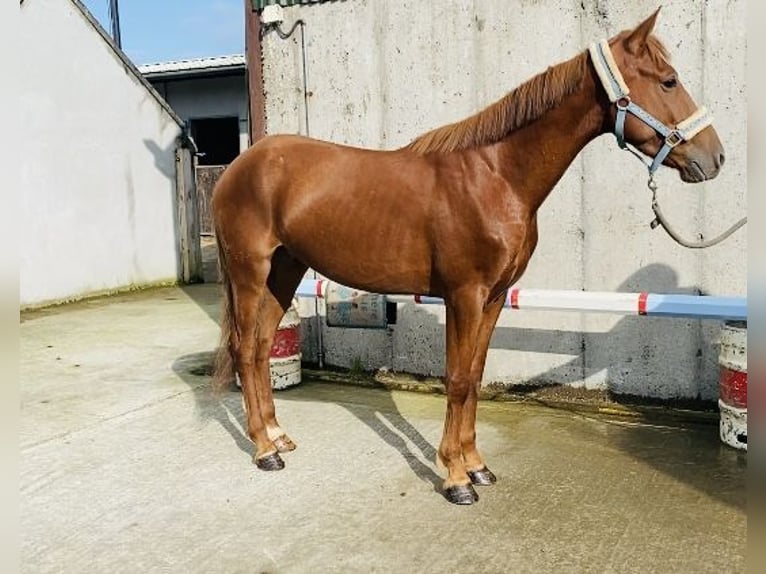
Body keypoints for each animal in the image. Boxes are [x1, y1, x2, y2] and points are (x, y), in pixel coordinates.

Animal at [212, 6, 728, 506]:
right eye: (669, 81)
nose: (715, 158)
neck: (496, 176)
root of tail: (238, 167)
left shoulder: (494, 297)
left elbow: (476, 376)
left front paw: (477, 466)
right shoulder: (464, 295)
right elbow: (458, 379)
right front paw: (456, 478)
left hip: (284, 271)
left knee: (262, 347)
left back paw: (278, 435)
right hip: (250, 273)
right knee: (244, 349)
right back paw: (263, 450)